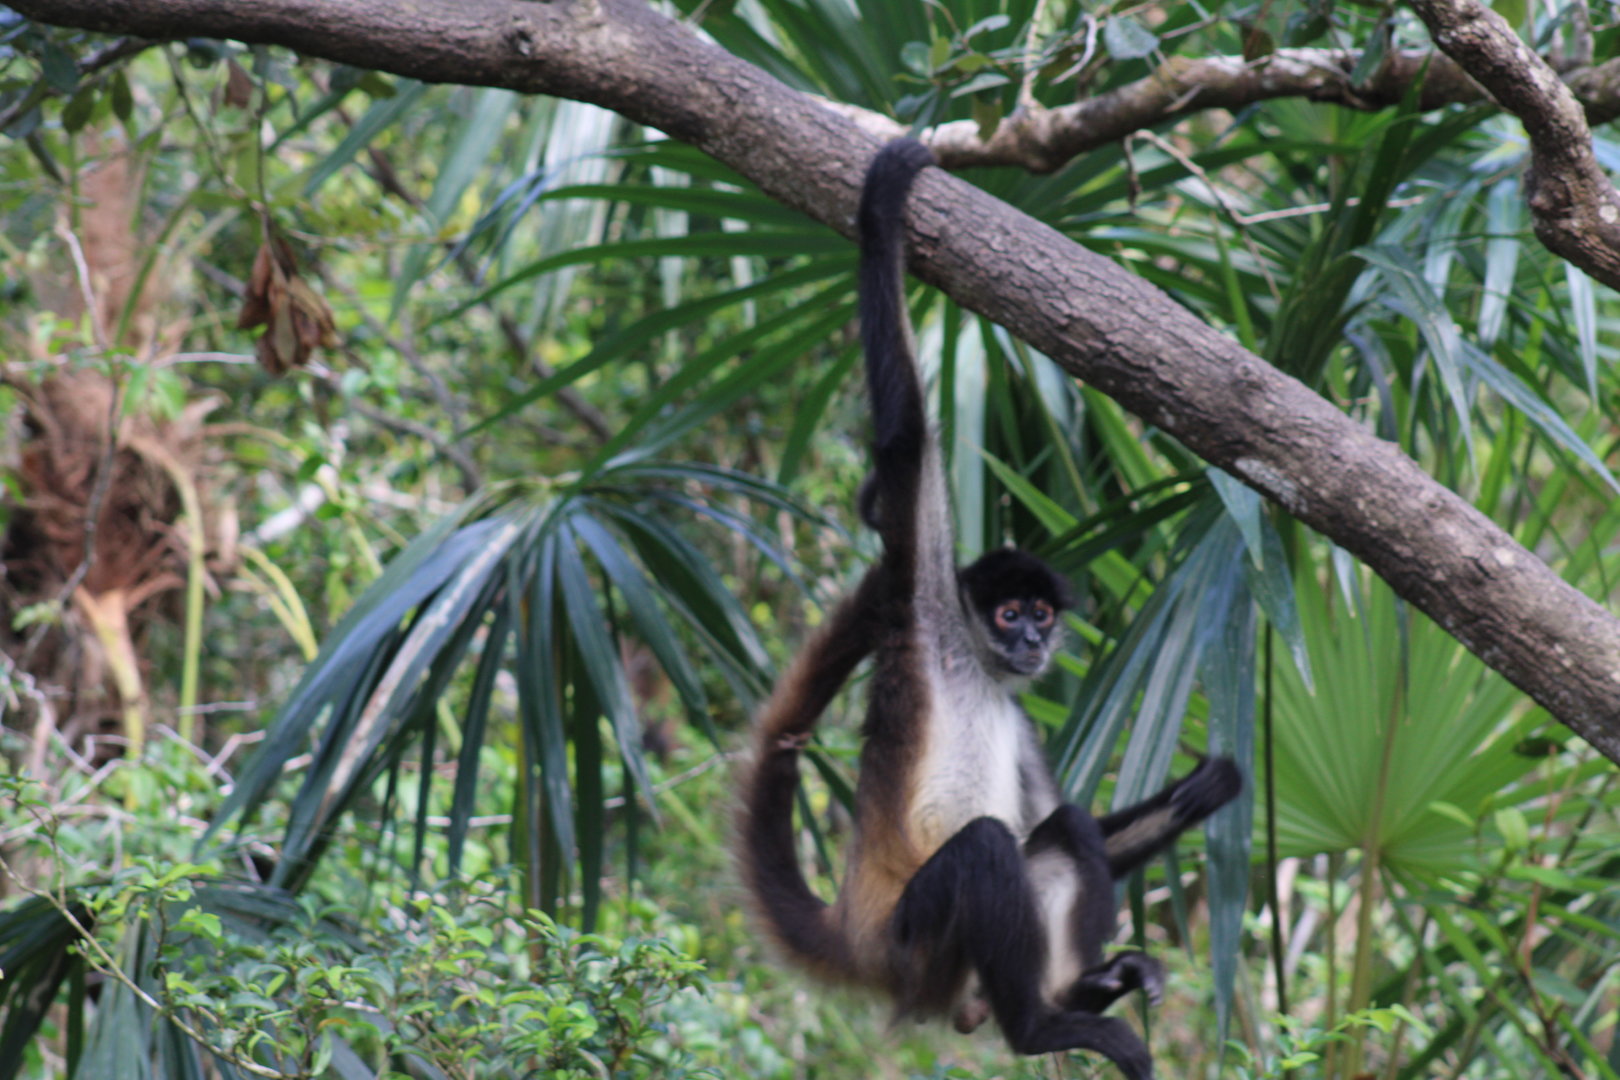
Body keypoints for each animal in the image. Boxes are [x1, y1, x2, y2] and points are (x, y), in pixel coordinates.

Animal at [738, 139, 1242, 1080]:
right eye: (1009, 615)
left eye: (1042, 614)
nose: (1035, 641)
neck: (975, 664)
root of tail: (861, 937)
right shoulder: (924, 606)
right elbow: (907, 443)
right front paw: (882, 208)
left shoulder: (1022, 710)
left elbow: (1074, 813)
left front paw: (1205, 790)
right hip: (923, 942)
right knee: (984, 845)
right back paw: (1039, 1027)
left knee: (1064, 828)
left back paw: (1079, 990)